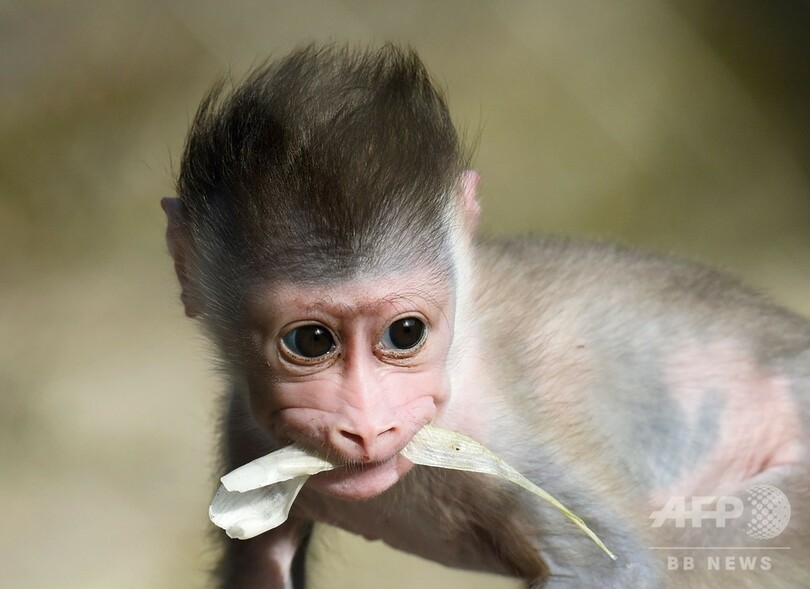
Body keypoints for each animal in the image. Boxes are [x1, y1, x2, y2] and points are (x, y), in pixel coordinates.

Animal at [161, 43, 804, 584]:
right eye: (312, 341)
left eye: (406, 332)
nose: (367, 427)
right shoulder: (245, 430)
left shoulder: (512, 436)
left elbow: (622, 566)